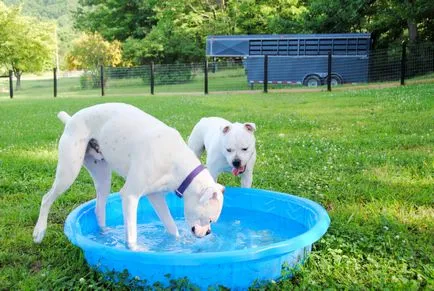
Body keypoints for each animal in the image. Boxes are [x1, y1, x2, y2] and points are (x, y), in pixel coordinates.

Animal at [31, 103, 224, 251]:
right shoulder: (130, 196)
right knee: (47, 198)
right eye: (210, 219)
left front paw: (177, 245)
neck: (175, 160)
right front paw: (136, 251)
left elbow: (171, 226)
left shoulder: (156, 197)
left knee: (99, 209)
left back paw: (105, 236)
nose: (208, 232)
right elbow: (131, 235)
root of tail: (71, 119)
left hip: (102, 178)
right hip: (68, 172)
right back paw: (39, 231)